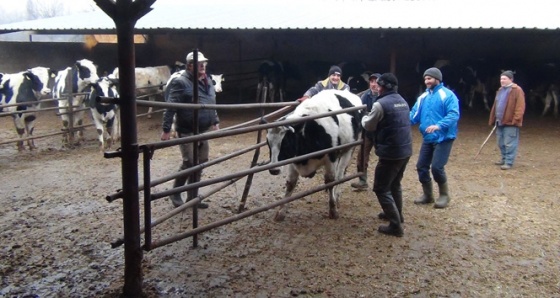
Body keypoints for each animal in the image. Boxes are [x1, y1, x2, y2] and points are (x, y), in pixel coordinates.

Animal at [266, 89, 364, 220]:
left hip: (348, 150)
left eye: (286, 143)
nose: (274, 170)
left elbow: (330, 181)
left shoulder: (331, 158)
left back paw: (336, 195)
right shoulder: (293, 160)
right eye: (268, 143)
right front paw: (281, 212)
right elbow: (290, 183)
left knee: (340, 175)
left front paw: (333, 210)